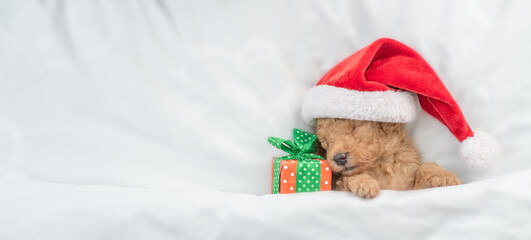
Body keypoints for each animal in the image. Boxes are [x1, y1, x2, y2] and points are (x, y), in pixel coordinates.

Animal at [316, 118, 462, 199]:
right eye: (326, 141)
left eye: (355, 127)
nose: (339, 158)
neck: (381, 161)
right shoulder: (340, 188)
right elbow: (348, 177)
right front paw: (365, 184)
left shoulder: (411, 188)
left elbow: (428, 165)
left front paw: (445, 176)